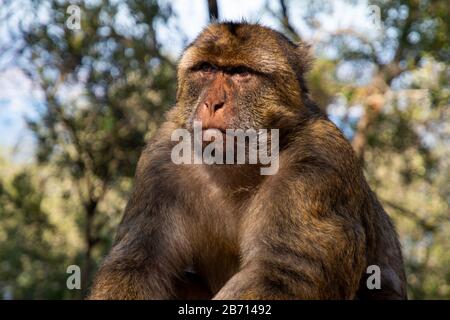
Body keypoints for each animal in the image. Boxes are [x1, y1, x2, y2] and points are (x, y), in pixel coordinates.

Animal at [88, 22, 408, 300]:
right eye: (206, 69)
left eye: (241, 73)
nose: (212, 103)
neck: (238, 165)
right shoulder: (160, 162)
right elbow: (137, 264)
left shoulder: (318, 164)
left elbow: (284, 273)